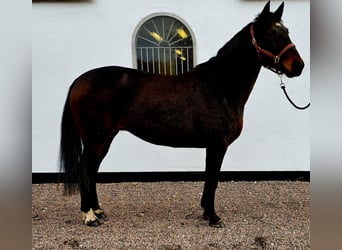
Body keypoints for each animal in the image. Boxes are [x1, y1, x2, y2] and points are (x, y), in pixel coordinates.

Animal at [59, 1, 304, 229]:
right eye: (271, 33)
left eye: (287, 31)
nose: (299, 66)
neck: (219, 86)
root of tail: (79, 80)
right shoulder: (217, 144)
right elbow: (213, 179)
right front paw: (213, 217)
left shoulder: (213, 145)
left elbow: (210, 178)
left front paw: (206, 212)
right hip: (96, 138)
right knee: (85, 169)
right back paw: (89, 216)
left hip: (106, 137)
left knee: (92, 170)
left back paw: (98, 211)